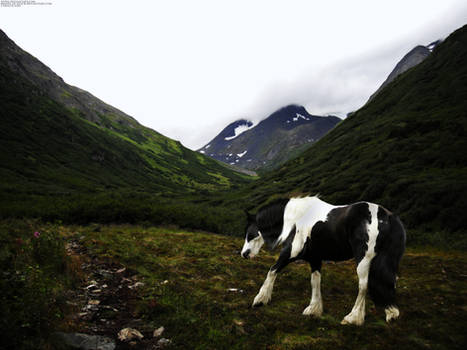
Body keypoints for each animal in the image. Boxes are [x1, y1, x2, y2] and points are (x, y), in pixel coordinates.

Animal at [241, 197, 406, 326]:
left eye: (250, 234)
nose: (244, 254)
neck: (295, 219)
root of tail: (388, 216)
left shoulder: (289, 252)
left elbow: (272, 270)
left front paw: (260, 300)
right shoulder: (315, 259)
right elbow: (315, 281)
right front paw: (313, 309)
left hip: (363, 259)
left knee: (363, 285)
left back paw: (353, 318)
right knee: (388, 282)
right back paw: (391, 313)